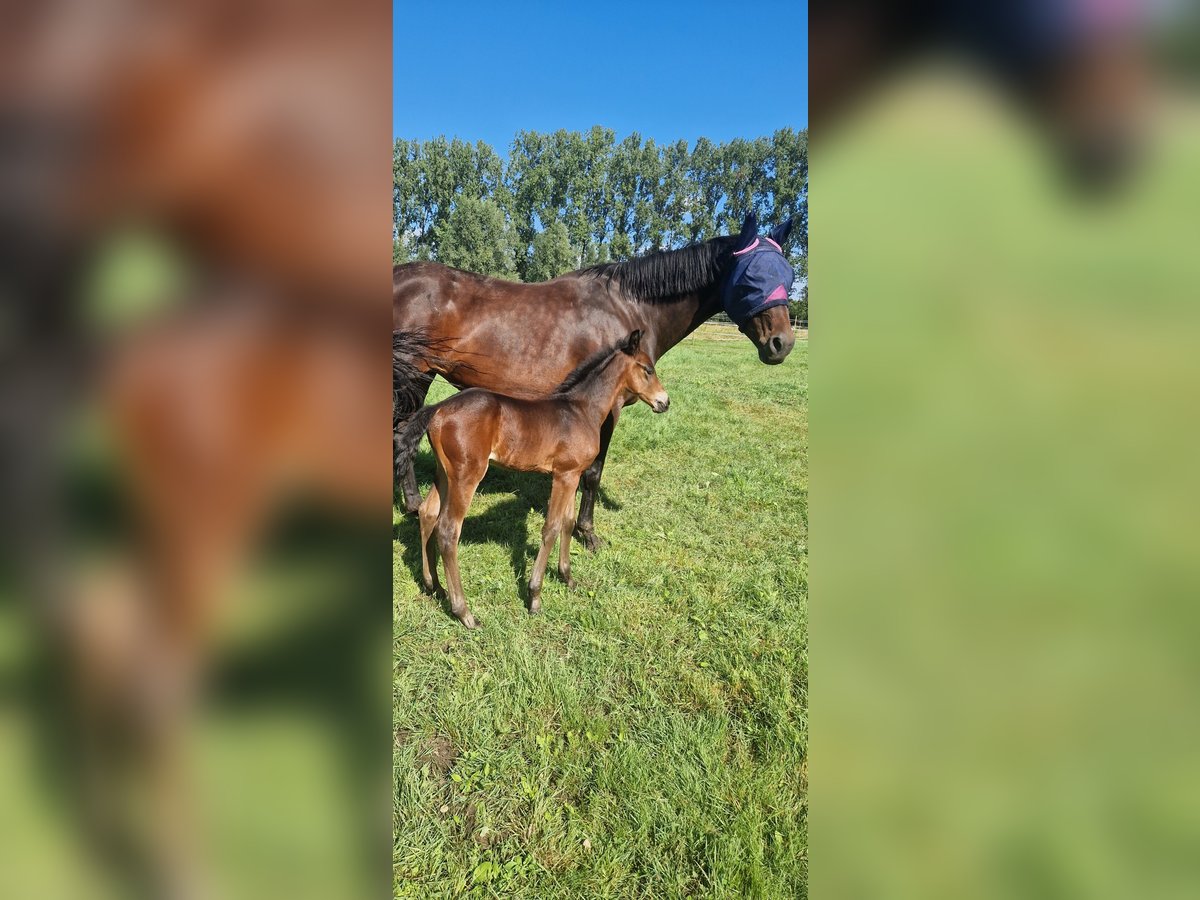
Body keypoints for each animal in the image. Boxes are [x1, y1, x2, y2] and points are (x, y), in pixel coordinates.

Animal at [396, 212, 796, 554]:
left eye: (789, 275)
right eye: (750, 279)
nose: (782, 344)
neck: (629, 306)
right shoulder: (609, 410)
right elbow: (593, 471)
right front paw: (587, 533)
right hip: (413, 375)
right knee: (402, 436)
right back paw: (413, 504)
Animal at [396, 328, 672, 628]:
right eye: (648, 369)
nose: (665, 402)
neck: (581, 409)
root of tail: (437, 409)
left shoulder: (571, 474)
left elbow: (567, 523)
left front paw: (568, 578)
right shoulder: (564, 476)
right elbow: (551, 528)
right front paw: (535, 597)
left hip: (444, 473)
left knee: (427, 513)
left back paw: (434, 586)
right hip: (466, 476)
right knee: (447, 530)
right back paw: (465, 613)